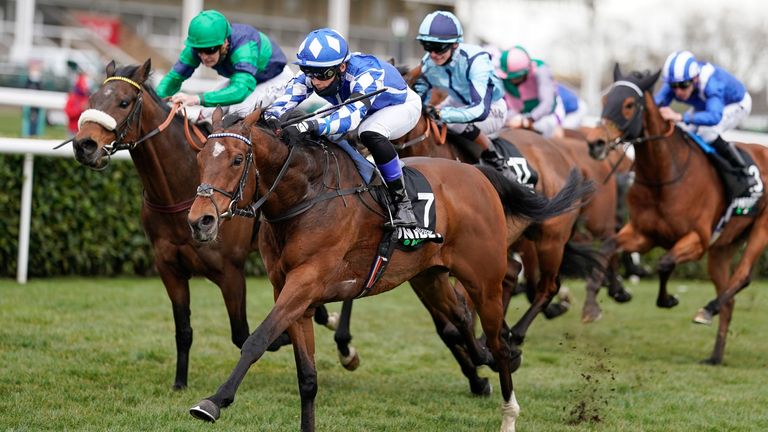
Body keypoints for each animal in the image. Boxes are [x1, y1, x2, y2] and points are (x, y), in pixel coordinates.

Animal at [71, 59, 332, 390]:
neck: (177, 192)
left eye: (124, 102)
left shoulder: (230, 272)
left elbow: (242, 333)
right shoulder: (169, 268)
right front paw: (179, 383)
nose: (84, 145)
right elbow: (184, 330)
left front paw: (284, 336)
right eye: (92, 99)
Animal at [183, 106, 592, 430]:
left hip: (486, 280)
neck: (306, 194)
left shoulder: (306, 282)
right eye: (200, 158)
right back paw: (486, 359)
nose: (200, 221)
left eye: (237, 160)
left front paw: (213, 402)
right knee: (461, 320)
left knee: (499, 334)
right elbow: (307, 377)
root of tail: (478, 175)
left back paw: (508, 408)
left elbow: (257, 339)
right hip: (430, 278)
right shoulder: (289, 290)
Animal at [584, 64, 768, 364]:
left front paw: (667, 299)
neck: (663, 175)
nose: (595, 143)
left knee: (742, 277)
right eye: (604, 100)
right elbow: (608, 248)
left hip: (759, 231)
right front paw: (600, 300)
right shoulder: (643, 234)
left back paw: (707, 309)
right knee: (729, 298)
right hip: (722, 248)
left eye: (629, 104)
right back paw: (715, 356)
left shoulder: (697, 240)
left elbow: (665, 263)